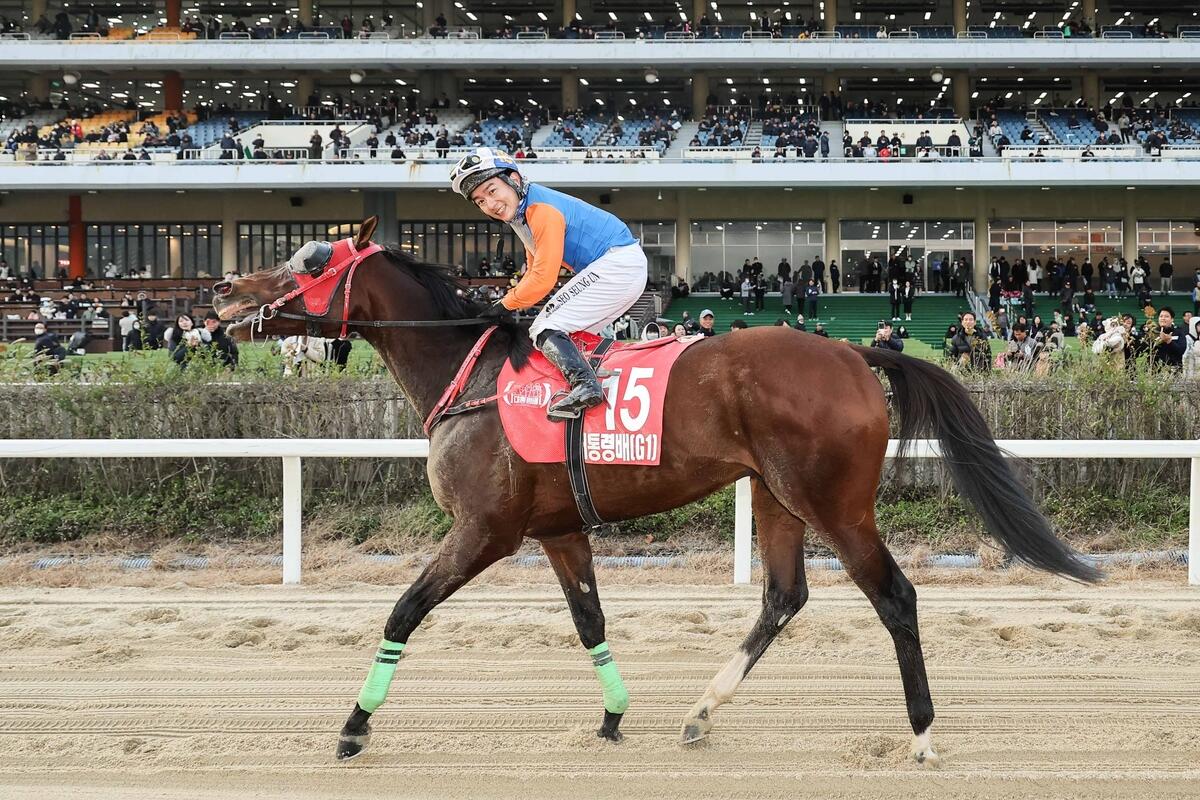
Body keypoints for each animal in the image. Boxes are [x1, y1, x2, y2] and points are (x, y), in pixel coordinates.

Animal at [213, 215, 1099, 767]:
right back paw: (701, 711)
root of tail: (855, 353)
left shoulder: (483, 530)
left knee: (896, 597)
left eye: (311, 262)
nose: (221, 294)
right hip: (776, 494)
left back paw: (919, 737)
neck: (474, 374)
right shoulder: (557, 529)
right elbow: (590, 620)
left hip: (836, 503)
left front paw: (353, 728)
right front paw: (612, 717)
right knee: (784, 596)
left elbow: (402, 611)